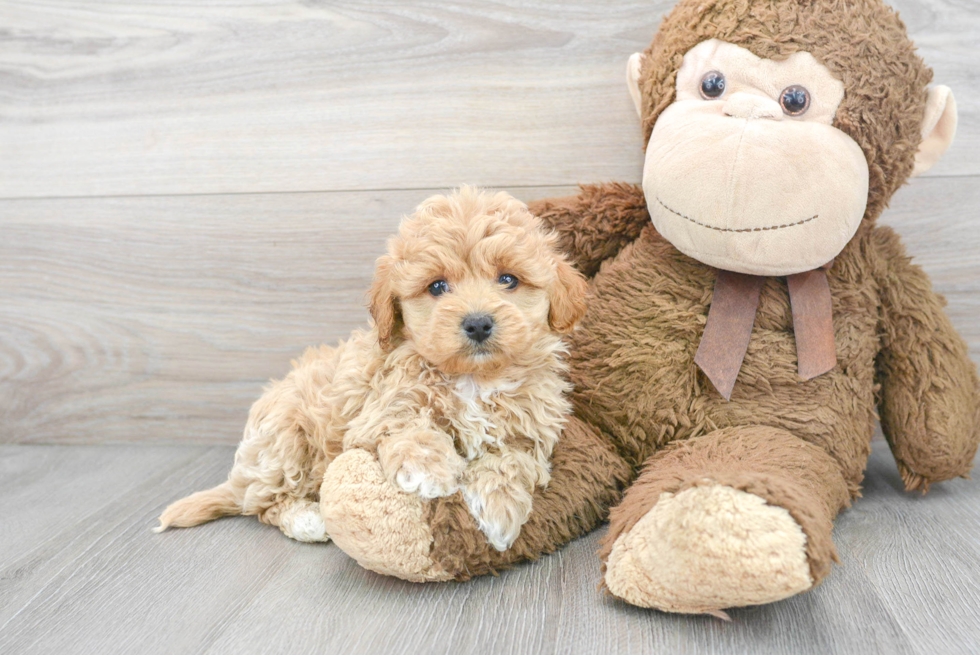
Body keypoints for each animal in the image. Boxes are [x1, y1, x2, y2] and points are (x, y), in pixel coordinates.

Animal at [157, 187, 584, 552]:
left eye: (508, 279)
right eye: (437, 286)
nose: (478, 323)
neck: (474, 379)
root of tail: (241, 475)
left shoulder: (530, 429)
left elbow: (512, 460)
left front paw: (498, 511)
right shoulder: (380, 411)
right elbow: (409, 428)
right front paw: (430, 471)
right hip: (283, 441)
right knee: (264, 504)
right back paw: (306, 519)